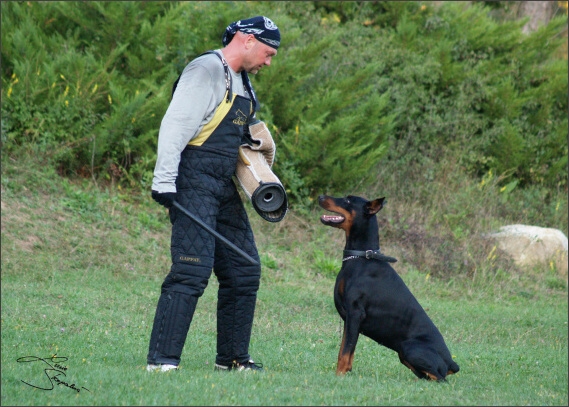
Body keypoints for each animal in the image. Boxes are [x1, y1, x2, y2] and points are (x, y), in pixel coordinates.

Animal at [318, 195, 460, 382]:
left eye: (348, 201)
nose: (320, 197)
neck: (361, 257)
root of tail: (451, 362)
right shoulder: (350, 320)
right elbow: (346, 351)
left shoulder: (355, 314)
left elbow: (345, 352)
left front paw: (339, 377)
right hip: (404, 354)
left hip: (409, 347)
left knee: (441, 378)